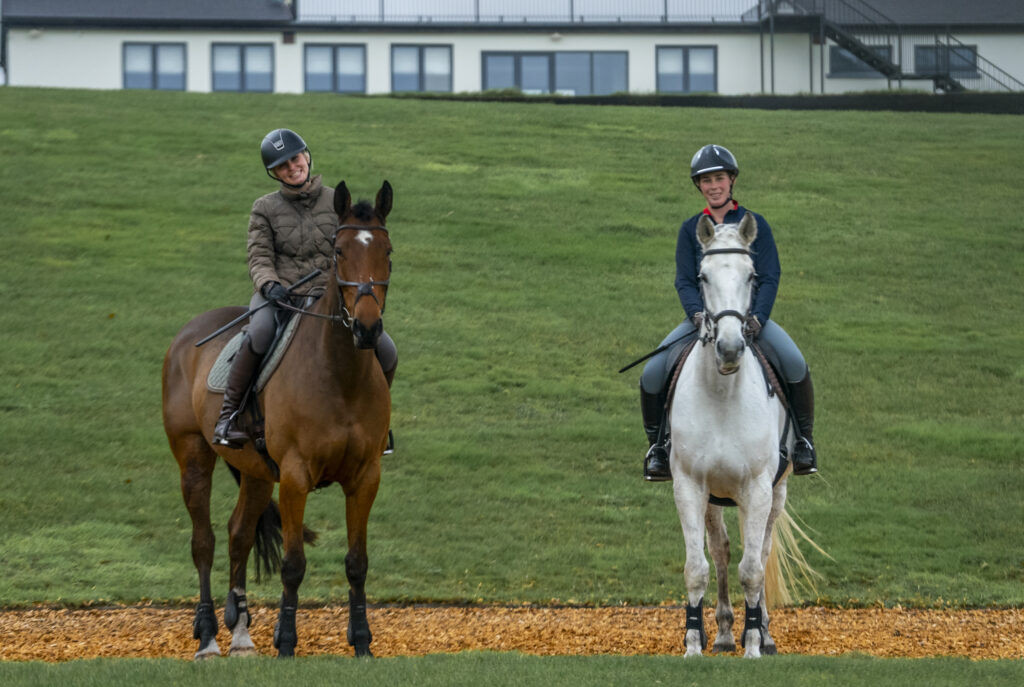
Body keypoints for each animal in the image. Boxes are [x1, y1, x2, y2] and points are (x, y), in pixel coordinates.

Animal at [161, 180, 394, 659]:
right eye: (338, 251)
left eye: (387, 251)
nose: (367, 329)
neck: (340, 374)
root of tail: (187, 334)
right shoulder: (295, 476)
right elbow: (293, 565)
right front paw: (286, 642)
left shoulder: (366, 476)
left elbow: (357, 563)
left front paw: (361, 641)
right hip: (194, 457)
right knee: (204, 542)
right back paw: (208, 635)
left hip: (255, 473)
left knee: (239, 534)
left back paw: (240, 632)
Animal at [669, 212, 818, 658]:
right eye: (702, 276)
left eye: (752, 275)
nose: (731, 347)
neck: (722, 395)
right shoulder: (689, 486)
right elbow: (697, 568)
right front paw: (693, 644)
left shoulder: (757, 488)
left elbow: (752, 570)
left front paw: (753, 645)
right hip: (713, 498)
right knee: (719, 552)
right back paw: (719, 633)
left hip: (776, 492)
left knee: (762, 551)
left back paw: (763, 634)